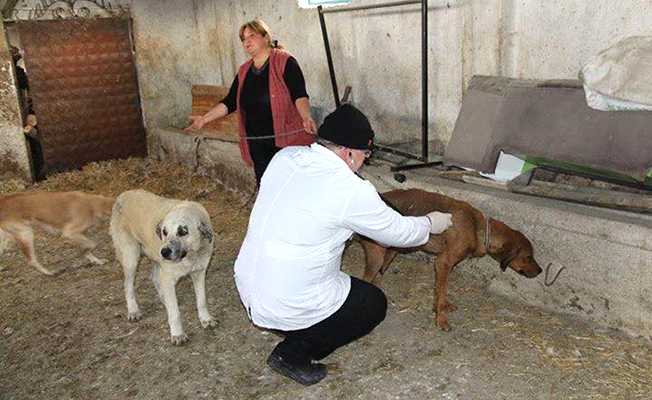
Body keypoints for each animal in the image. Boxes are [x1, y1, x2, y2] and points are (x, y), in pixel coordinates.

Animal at [109, 189, 216, 346]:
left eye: (183, 231)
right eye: (164, 232)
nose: (164, 252)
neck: (190, 256)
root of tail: (123, 194)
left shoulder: (199, 273)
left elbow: (202, 301)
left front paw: (205, 319)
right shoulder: (169, 278)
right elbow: (175, 313)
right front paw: (177, 334)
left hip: (153, 256)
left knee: (154, 278)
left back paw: (164, 299)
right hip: (132, 257)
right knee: (128, 285)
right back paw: (133, 310)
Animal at [360, 188, 544, 332]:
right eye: (528, 257)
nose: (540, 270)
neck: (477, 227)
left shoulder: (447, 265)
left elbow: (439, 291)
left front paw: (439, 306)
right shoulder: (443, 263)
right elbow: (441, 292)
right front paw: (440, 320)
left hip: (390, 252)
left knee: (378, 276)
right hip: (377, 257)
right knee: (367, 278)